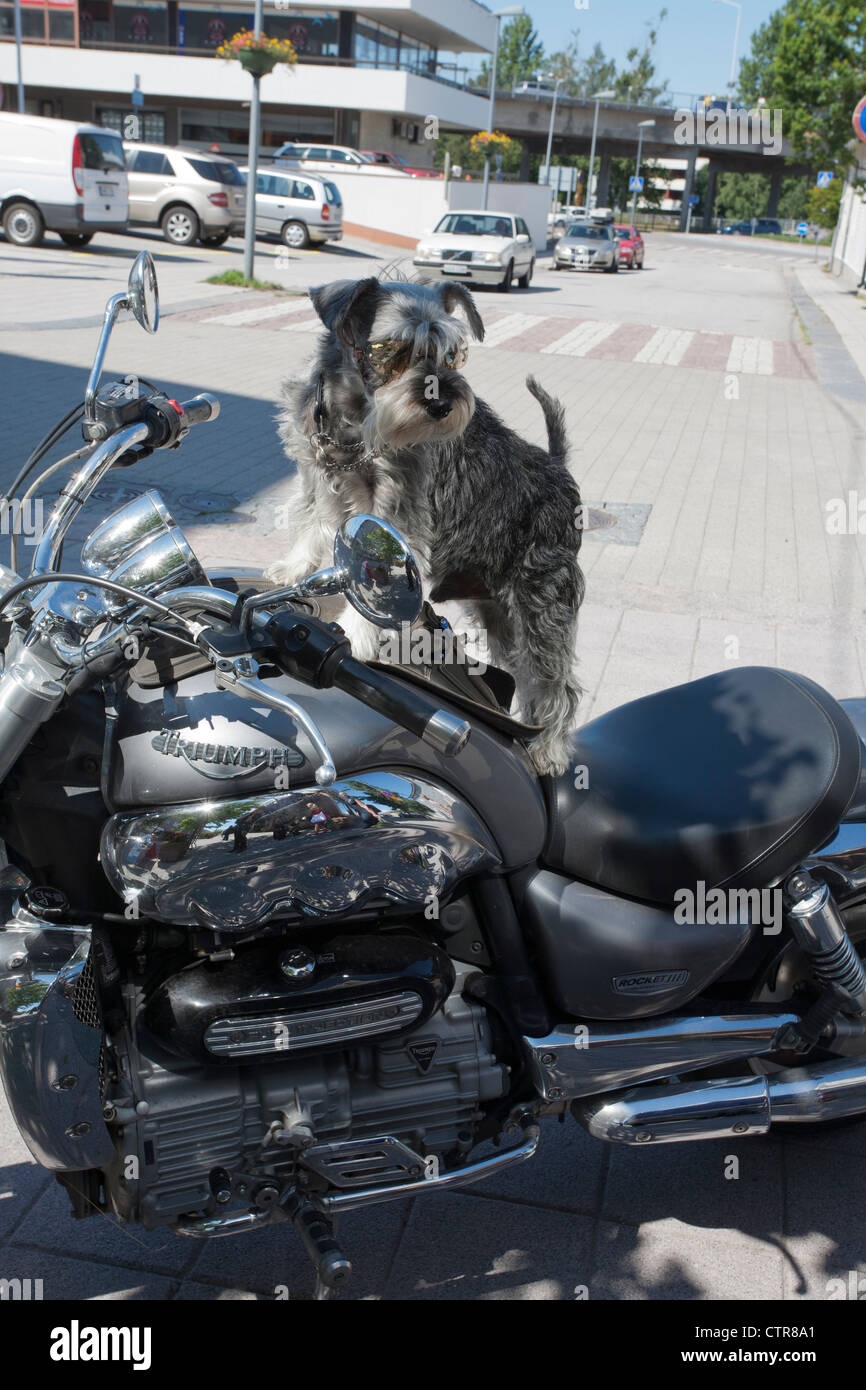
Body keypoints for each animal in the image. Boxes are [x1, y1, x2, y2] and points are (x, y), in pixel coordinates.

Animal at [268, 276, 586, 778]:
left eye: (453, 354)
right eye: (393, 350)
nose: (443, 402)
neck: (354, 422)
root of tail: (560, 471)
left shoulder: (397, 510)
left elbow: (373, 579)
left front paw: (356, 634)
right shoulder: (315, 471)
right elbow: (311, 516)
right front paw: (295, 567)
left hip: (544, 605)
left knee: (555, 682)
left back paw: (549, 749)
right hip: (500, 615)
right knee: (527, 676)